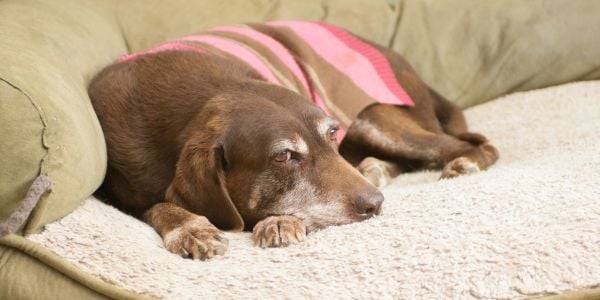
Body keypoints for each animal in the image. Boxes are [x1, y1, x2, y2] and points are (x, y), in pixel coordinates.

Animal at [86, 21, 494, 260]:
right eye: (284, 156)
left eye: (331, 134)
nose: (375, 204)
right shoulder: (120, 194)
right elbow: (158, 207)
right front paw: (190, 228)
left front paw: (279, 222)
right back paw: (374, 169)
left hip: (375, 120)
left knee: (476, 145)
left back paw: (462, 163)